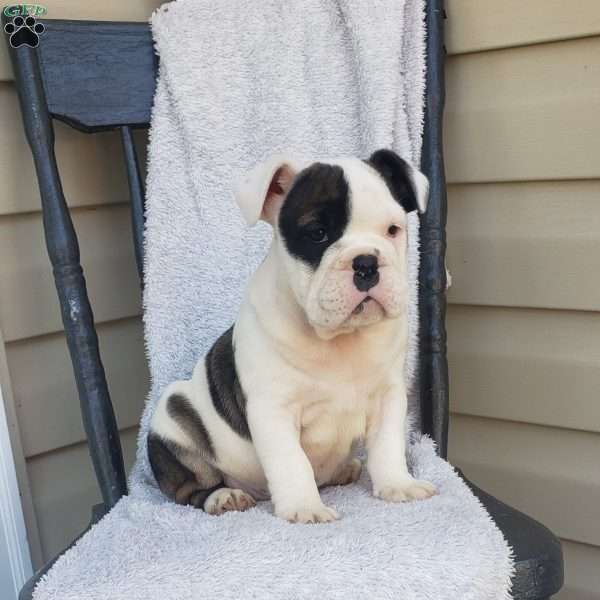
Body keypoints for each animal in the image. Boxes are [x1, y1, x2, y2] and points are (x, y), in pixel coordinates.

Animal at [145, 149, 436, 520]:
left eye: (392, 230)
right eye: (317, 233)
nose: (366, 262)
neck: (340, 338)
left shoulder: (388, 396)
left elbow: (387, 445)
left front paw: (398, 485)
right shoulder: (274, 409)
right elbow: (291, 461)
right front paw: (304, 507)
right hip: (172, 417)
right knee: (189, 489)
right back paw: (224, 497)